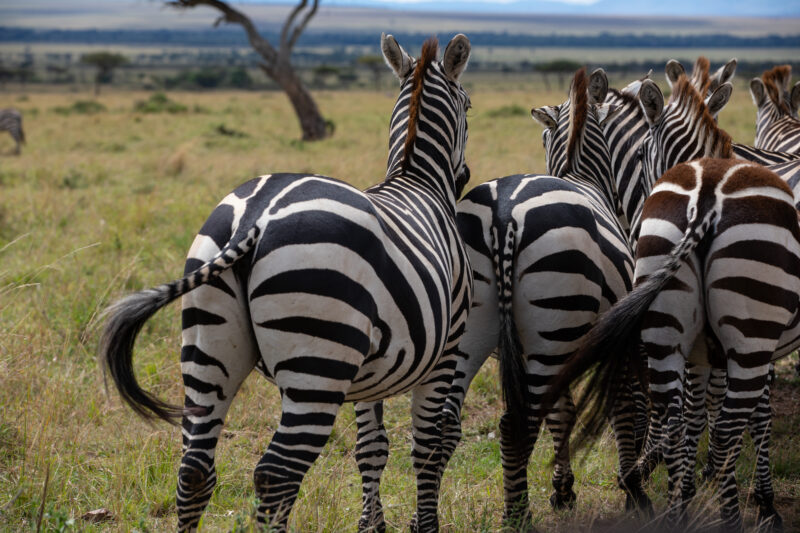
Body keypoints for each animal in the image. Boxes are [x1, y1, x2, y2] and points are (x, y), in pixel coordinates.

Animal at [99, 34, 473, 533]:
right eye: (469, 106)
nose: (465, 178)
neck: (417, 181)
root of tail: (255, 217)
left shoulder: (371, 370)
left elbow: (371, 449)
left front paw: (372, 525)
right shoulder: (447, 346)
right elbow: (426, 447)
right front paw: (423, 524)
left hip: (210, 347)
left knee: (194, 469)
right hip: (317, 361)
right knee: (276, 474)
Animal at [547, 74, 800, 532]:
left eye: (640, 153)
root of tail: (706, 198)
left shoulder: (702, 346)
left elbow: (703, 413)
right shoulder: (750, 345)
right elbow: (748, 414)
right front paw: (759, 499)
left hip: (677, 327)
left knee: (679, 416)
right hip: (747, 333)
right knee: (722, 425)